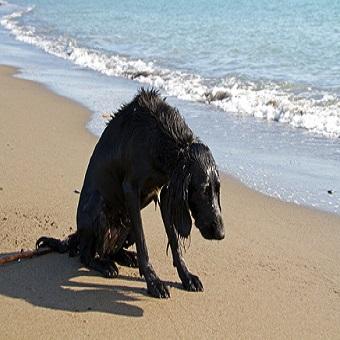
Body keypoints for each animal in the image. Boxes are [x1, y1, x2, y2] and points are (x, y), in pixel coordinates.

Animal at [36, 89, 223, 298]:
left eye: (217, 190)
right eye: (203, 190)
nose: (221, 233)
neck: (160, 135)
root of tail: (78, 233)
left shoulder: (167, 192)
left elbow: (174, 241)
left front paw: (186, 276)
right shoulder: (131, 189)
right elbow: (143, 244)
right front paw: (153, 282)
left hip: (125, 223)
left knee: (110, 250)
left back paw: (126, 256)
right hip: (98, 209)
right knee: (86, 255)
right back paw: (104, 265)